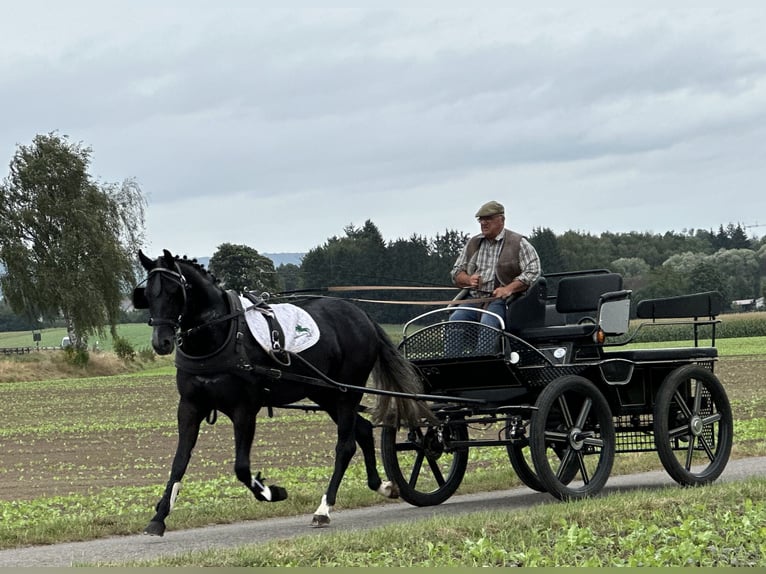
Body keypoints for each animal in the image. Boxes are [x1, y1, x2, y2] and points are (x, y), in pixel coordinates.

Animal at [135, 252, 428, 536]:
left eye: (175, 291)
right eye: (147, 294)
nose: (161, 342)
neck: (223, 333)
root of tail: (362, 316)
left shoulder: (244, 409)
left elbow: (241, 467)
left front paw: (271, 492)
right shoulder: (190, 406)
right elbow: (179, 462)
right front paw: (159, 518)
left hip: (346, 392)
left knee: (345, 446)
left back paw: (324, 508)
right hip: (326, 392)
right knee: (364, 431)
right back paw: (382, 486)